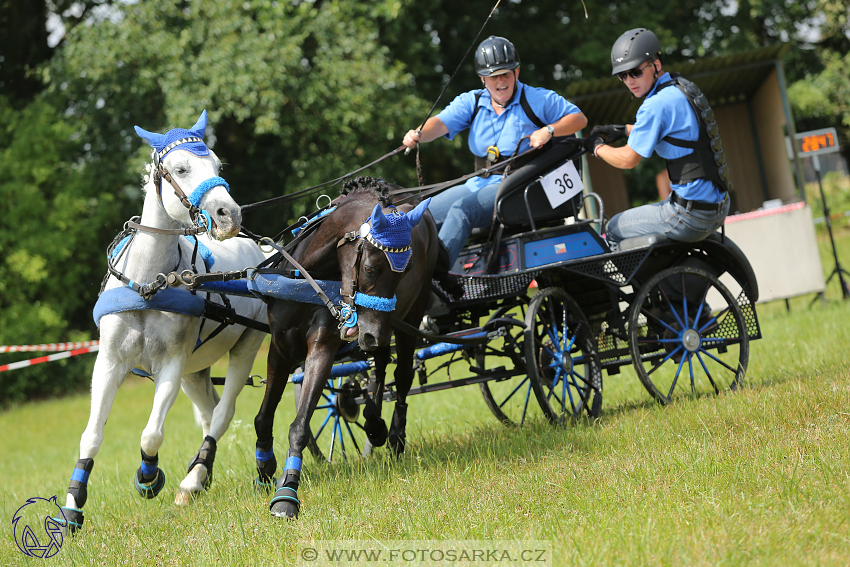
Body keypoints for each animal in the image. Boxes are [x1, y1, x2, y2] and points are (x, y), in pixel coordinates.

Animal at [252, 176, 438, 520]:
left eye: (404, 271)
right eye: (371, 268)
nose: (372, 334)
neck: (307, 277)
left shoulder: (322, 348)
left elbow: (300, 425)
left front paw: (287, 492)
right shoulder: (280, 346)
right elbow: (263, 416)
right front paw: (264, 467)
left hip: (409, 315)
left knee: (401, 376)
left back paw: (394, 436)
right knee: (379, 366)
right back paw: (375, 424)